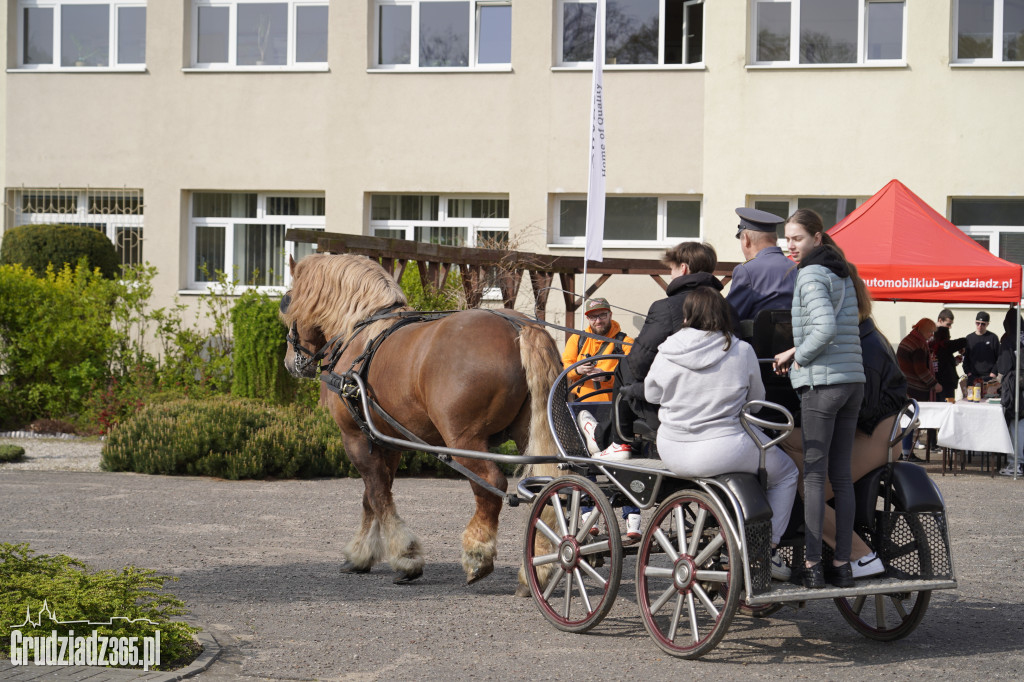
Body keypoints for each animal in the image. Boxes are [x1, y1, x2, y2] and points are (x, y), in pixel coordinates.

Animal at [280, 253, 561, 585]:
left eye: (287, 302)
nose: (290, 363)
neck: (360, 332)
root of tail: (517, 325)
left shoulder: (355, 437)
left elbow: (378, 494)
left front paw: (405, 556)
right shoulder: (387, 442)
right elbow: (373, 495)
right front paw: (362, 553)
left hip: (464, 440)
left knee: (491, 485)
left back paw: (478, 554)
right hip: (527, 433)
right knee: (547, 487)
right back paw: (540, 567)